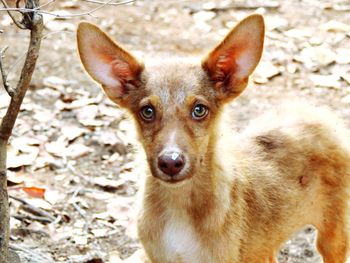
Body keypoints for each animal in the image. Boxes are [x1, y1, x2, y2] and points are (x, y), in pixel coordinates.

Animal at [76, 14, 350, 263]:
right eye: (147, 111)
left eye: (199, 110)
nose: (171, 162)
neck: (179, 207)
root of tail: (316, 113)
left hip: (333, 236)